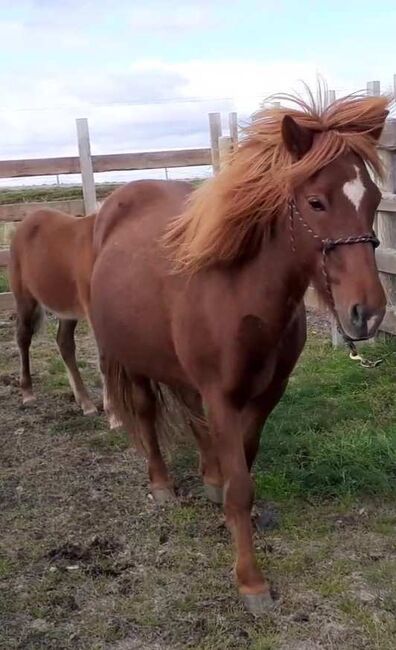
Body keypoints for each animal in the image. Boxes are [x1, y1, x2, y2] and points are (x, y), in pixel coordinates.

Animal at [7, 206, 119, 426]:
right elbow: (106, 360)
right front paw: (116, 416)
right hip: (25, 299)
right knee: (23, 337)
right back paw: (27, 393)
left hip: (67, 309)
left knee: (64, 343)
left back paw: (86, 403)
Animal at [88, 91, 388, 612]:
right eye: (316, 202)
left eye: (372, 200)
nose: (366, 313)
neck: (240, 289)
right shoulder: (222, 397)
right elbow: (241, 485)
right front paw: (251, 581)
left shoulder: (267, 394)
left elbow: (243, 465)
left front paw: (227, 502)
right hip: (130, 358)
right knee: (146, 413)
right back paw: (162, 485)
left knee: (191, 417)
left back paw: (208, 477)